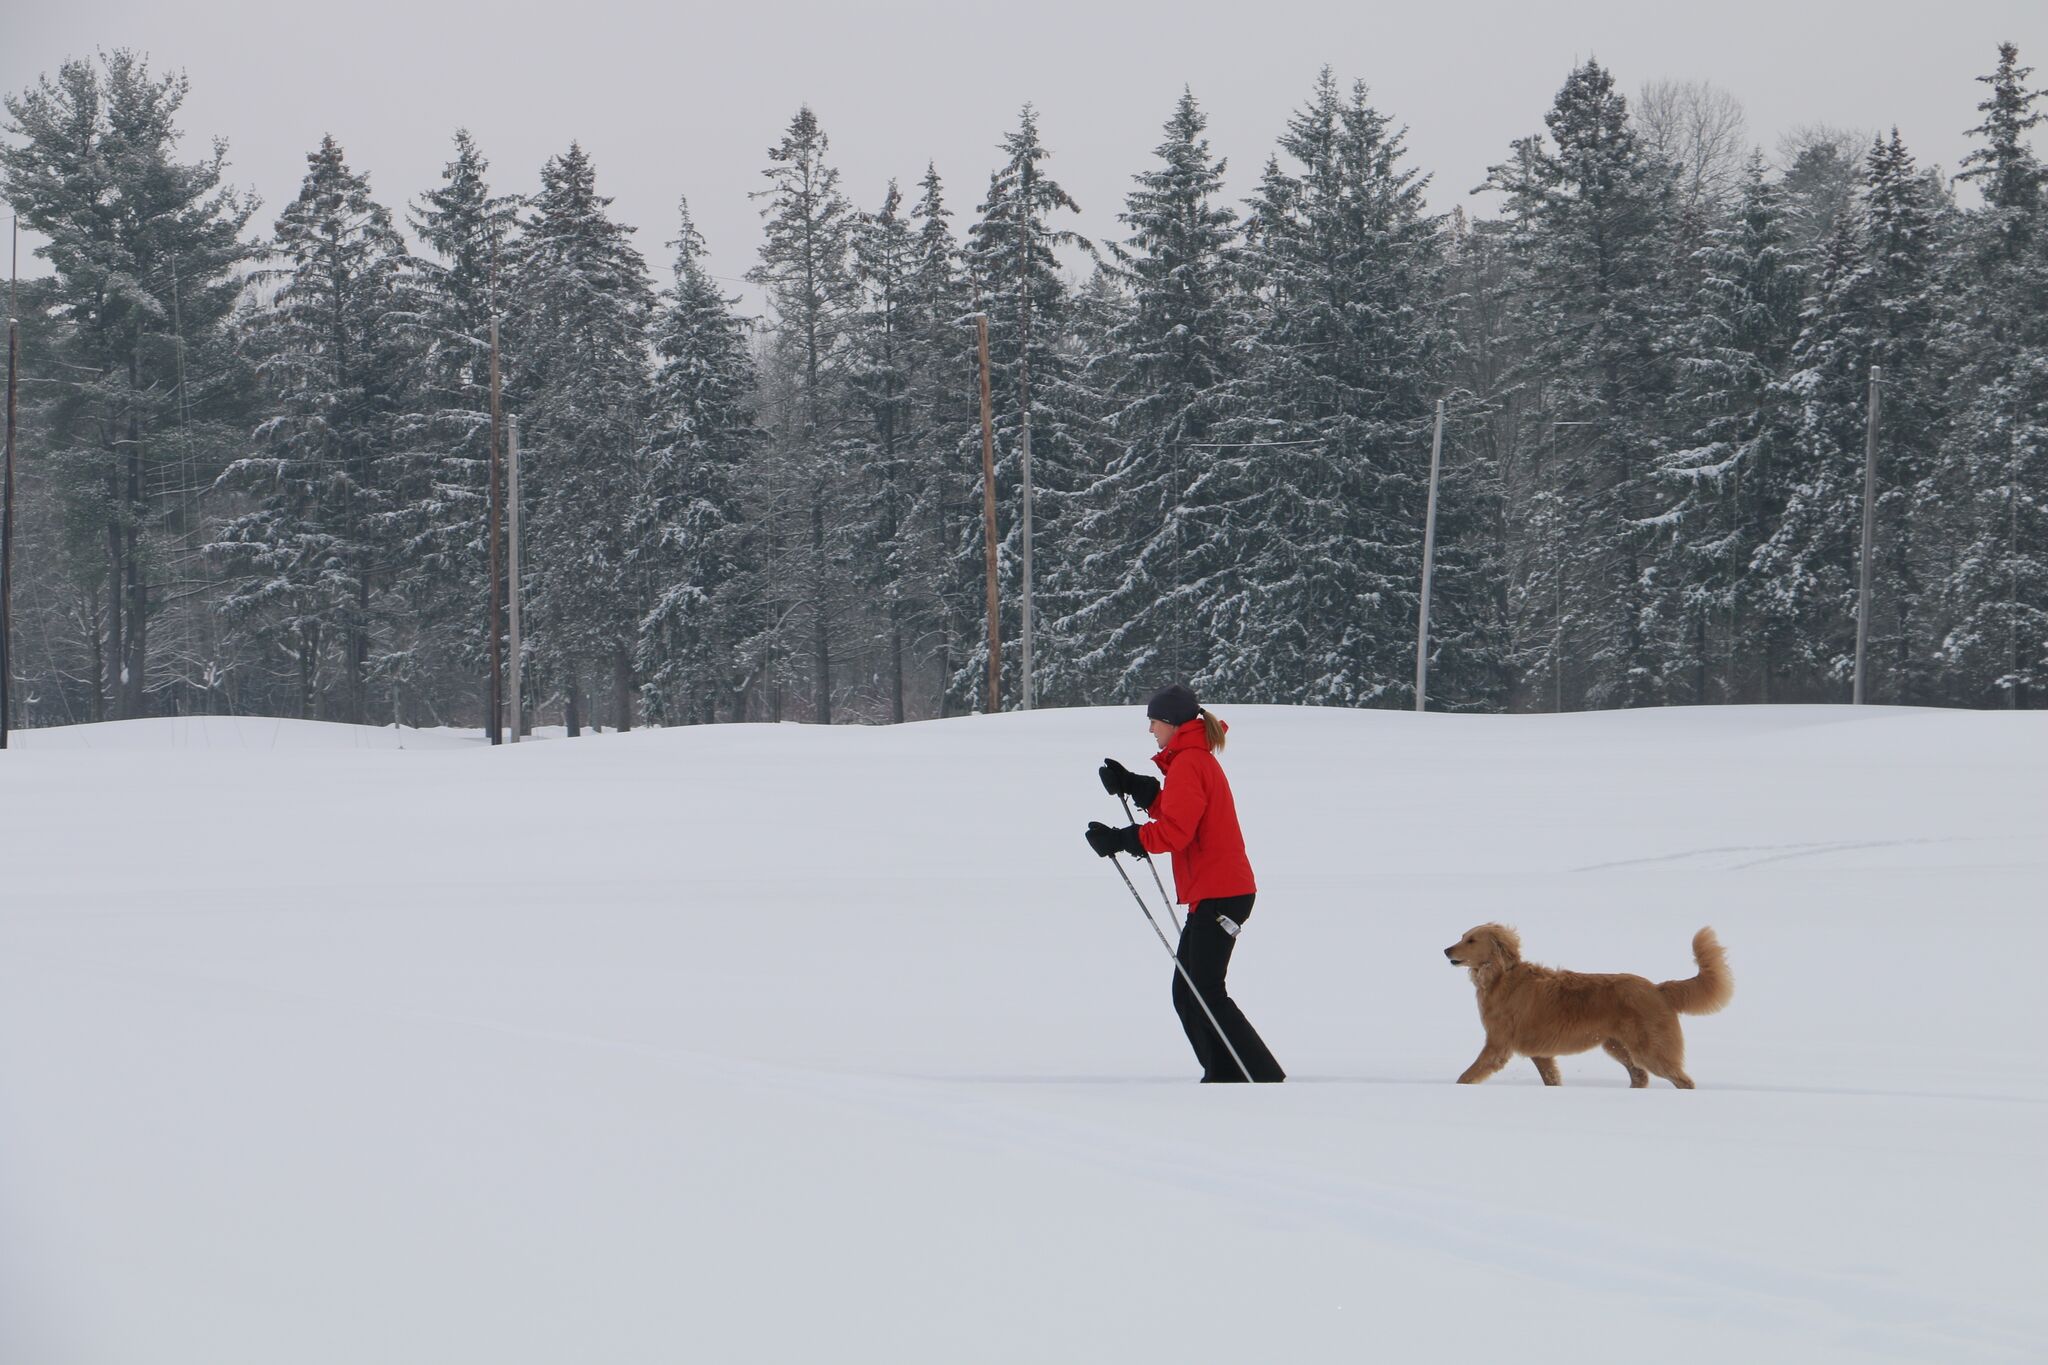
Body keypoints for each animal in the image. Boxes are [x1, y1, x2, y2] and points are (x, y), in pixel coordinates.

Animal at [1444, 924, 1731, 1088]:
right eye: (1462, 936)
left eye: (1471, 940)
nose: (1446, 950)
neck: (1501, 976)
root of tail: (1657, 988)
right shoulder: (1540, 1052)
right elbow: (1551, 1079)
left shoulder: (1498, 1044)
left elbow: (1467, 1075)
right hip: (1618, 1046)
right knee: (1640, 1076)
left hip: (1650, 1050)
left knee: (1682, 1080)